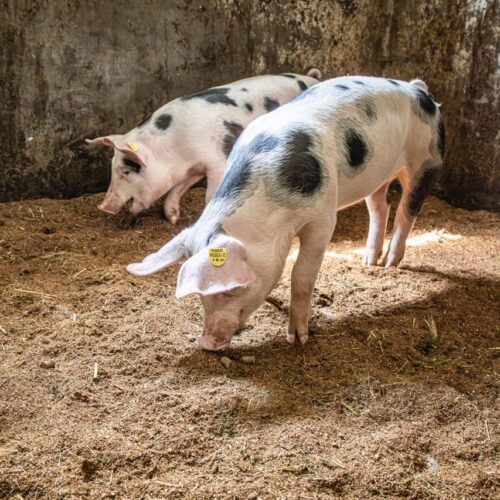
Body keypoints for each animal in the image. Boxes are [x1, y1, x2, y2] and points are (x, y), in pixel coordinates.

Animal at [85, 68, 322, 223]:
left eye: (126, 170)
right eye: (112, 169)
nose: (103, 207)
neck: (175, 151)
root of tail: (312, 78)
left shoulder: (216, 161)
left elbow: (210, 195)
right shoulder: (192, 169)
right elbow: (176, 190)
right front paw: (172, 219)